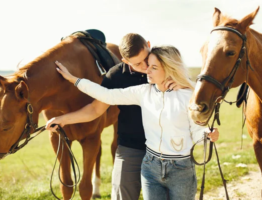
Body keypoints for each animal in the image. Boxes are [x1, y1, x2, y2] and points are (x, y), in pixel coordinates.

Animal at [0, 33, 121, 199]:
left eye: (6, 127)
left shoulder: (90, 139)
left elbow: (84, 188)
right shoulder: (59, 138)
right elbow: (67, 186)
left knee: (114, 148)